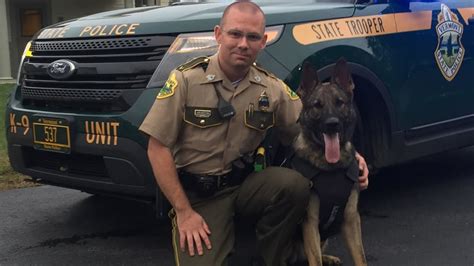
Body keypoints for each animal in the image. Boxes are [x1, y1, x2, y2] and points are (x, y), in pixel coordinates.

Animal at [286, 58, 368, 266]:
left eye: (340, 103)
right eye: (317, 105)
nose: (332, 124)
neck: (331, 167)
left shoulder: (351, 219)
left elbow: (361, 258)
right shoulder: (310, 223)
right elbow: (315, 261)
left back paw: (329, 258)